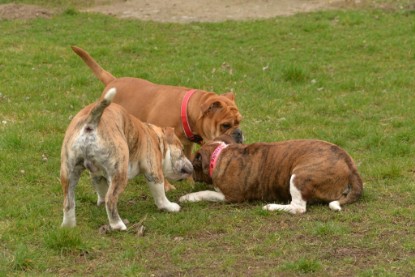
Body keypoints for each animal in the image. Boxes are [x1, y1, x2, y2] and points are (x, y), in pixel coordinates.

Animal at [60, 88, 193, 229]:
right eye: (182, 150)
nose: (192, 165)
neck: (155, 136)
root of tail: (90, 125)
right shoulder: (153, 172)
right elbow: (160, 196)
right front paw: (170, 207)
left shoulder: (97, 174)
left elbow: (101, 190)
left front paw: (100, 203)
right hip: (120, 172)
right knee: (110, 200)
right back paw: (117, 225)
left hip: (69, 172)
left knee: (68, 201)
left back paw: (68, 226)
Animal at [180, 135, 362, 212]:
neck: (218, 155)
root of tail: (350, 166)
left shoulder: (231, 197)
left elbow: (206, 192)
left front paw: (188, 197)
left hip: (299, 177)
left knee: (298, 208)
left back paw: (271, 207)